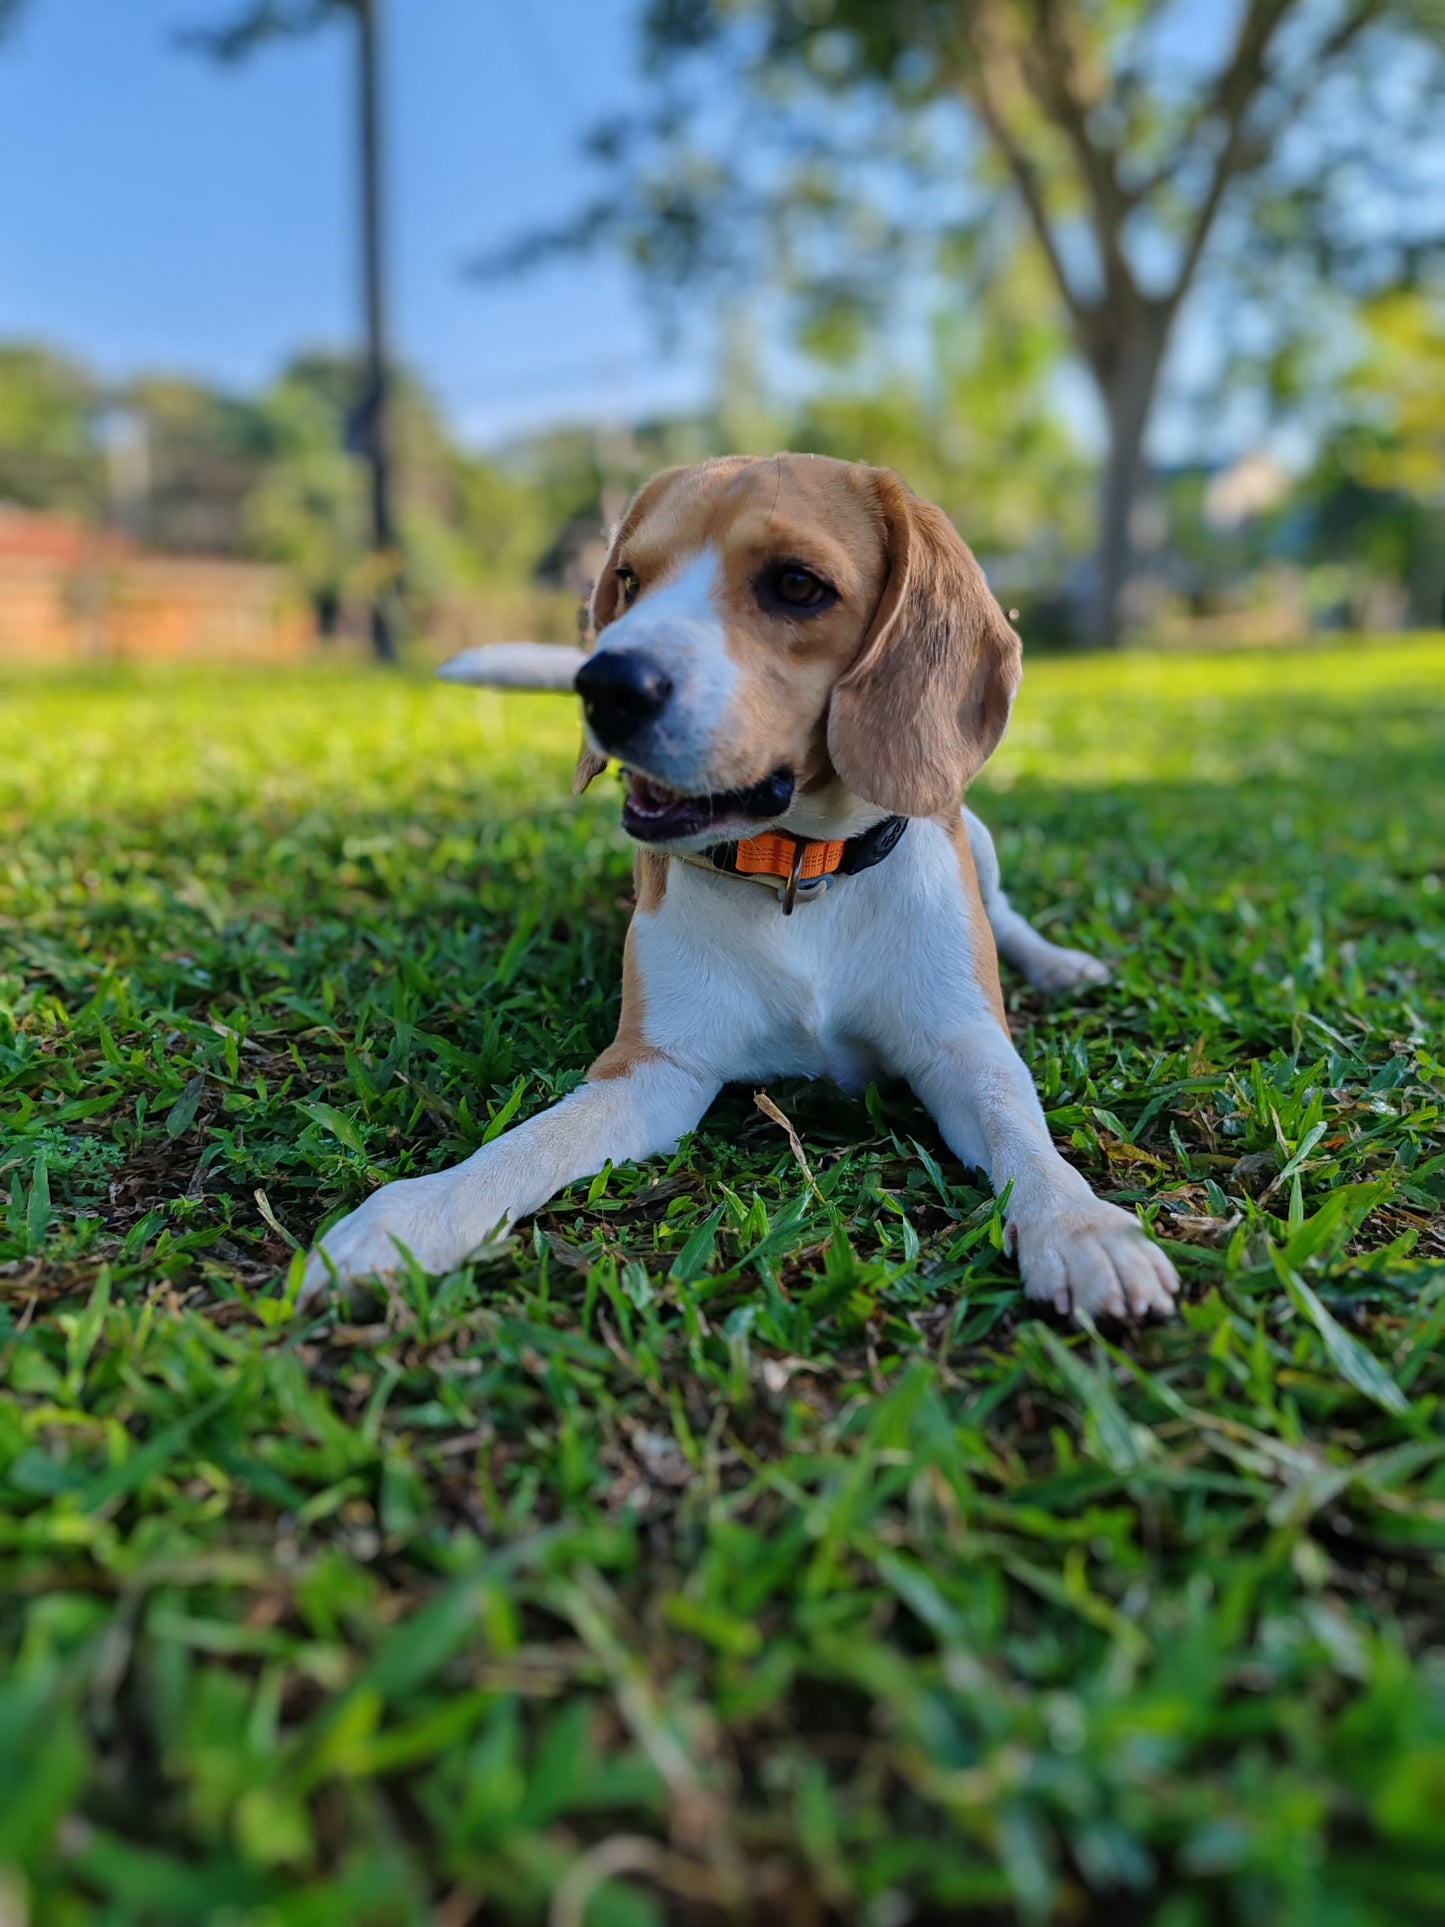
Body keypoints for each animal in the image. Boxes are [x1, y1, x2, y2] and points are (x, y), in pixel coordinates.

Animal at [302, 450, 1179, 1325]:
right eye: (628, 579)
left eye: (796, 584)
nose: (603, 683)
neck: (799, 871)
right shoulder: (657, 1069)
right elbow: (527, 1142)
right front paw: (413, 1216)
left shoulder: (961, 1047)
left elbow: (1019, 1128)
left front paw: (1079, 1224)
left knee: (1004, 913)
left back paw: (1059, 963)